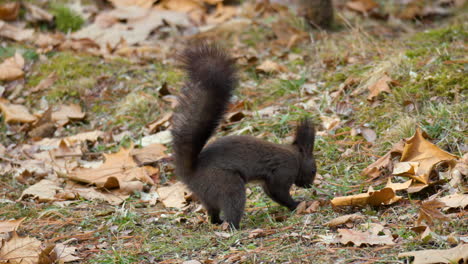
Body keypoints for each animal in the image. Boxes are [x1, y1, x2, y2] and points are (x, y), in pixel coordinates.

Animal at [170, 43, 316, 229]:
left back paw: (218, 222)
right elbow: (278, 192)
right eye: (313, 170)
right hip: (227, 184)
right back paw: (235, 226)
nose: (309, 185)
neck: (296, 156)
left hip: (209, 196)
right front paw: (296, 204)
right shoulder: (283, 171)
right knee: (232, 206)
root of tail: (190, 173)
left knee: (212, 212)